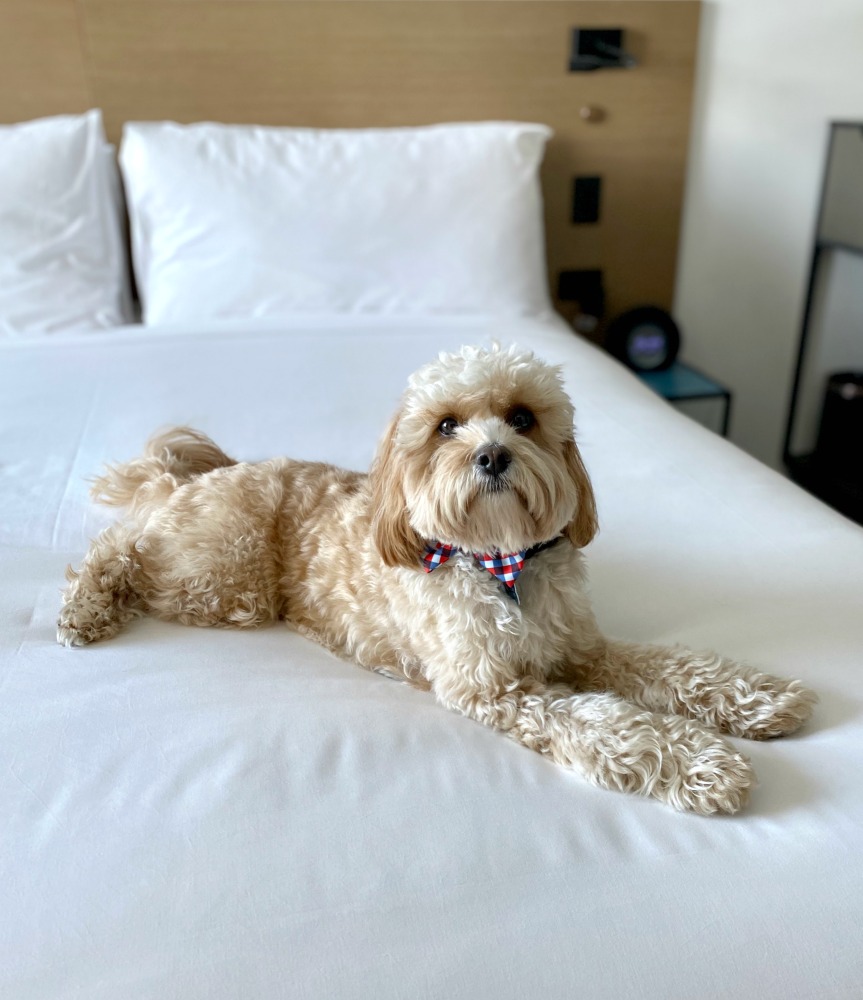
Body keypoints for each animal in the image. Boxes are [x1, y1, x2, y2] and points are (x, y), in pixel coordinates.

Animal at [59, 344, 816, 812]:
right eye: (446, 426)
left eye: (522, 418)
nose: (492, 456)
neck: (503, 561)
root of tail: (194, 479)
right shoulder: (496, 688)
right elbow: (611, 722)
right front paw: (706, 765)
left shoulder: (582, 647)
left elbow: (672, 665)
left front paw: (759, 697)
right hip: (220, 578)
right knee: (119, 549)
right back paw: (84, 608)